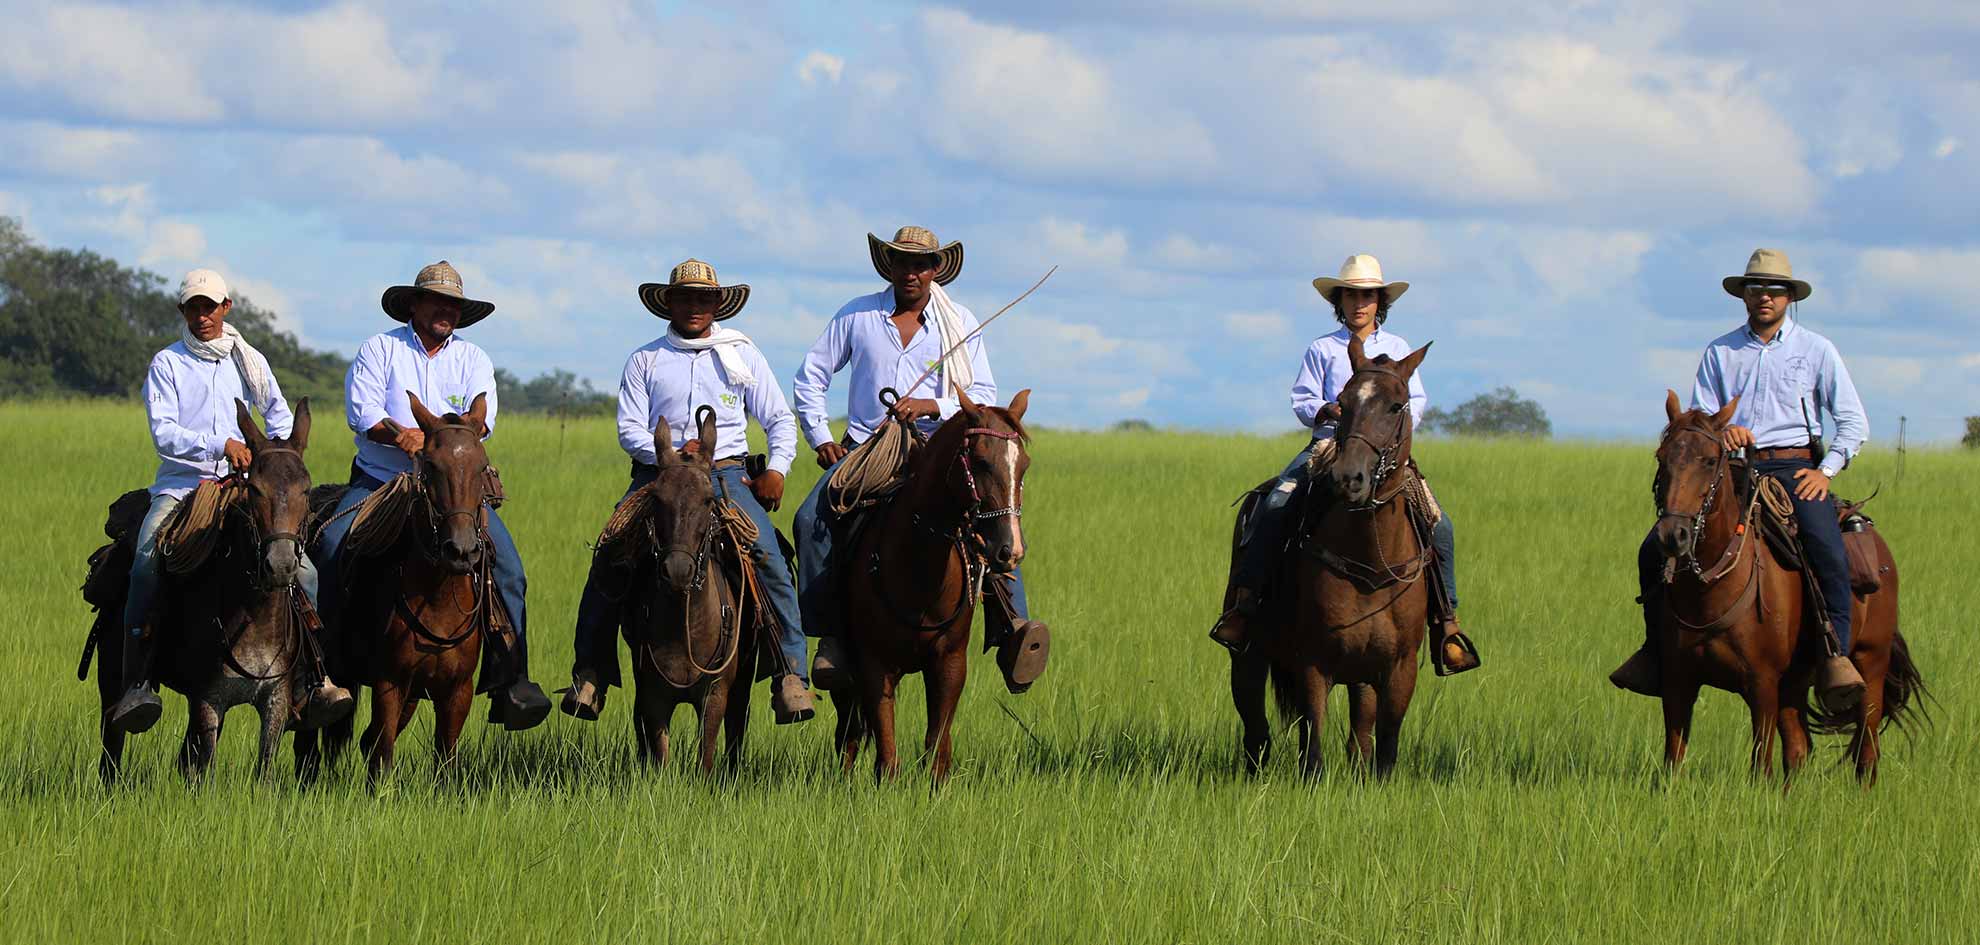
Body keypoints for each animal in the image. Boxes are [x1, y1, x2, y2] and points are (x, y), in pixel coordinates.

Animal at [609, 408, 756, 768]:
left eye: (708, 499)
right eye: (656, 497)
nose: (678, 570)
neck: (687, 624)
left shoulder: (715, 694)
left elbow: (706, 757)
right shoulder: (654, 695)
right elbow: (660, 754)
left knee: (737, 726)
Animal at [827, 386, 1037, 784]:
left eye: (1024, 465)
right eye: (980, 461)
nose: (1010, 550)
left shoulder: (950, 661)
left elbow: (936, 745)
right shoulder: (874, 663)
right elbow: (886, 755)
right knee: (848, 729)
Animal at [1647, 390, 1924, 780]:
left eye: (1709, 460)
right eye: (1662, 456)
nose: (1674, 535)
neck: (1711, 589)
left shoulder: (1762, 684)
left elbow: (1760, 766)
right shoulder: (1678, 681)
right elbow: (1673, 761)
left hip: (1871, 664)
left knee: (1866, 754)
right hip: (1795, 681)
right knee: (1798, 749)